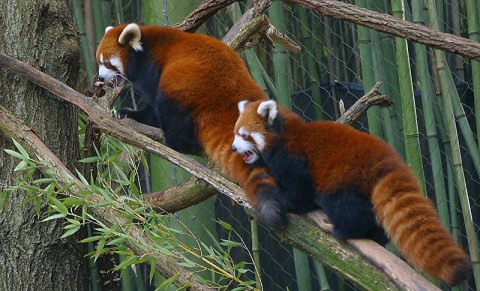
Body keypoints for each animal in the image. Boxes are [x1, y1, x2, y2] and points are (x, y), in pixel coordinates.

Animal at [94, 24, 288, 226]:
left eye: (107, 62)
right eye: (99, 61)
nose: (100, 78)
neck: (146, 46)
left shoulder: (154, 68)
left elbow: (154, 104)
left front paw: (137, 116)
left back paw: (173, 141)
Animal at [232, 99, 472, 286]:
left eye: (244, 135)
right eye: (235, 134)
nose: (234, 148)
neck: (284, 134)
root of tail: (387, 160)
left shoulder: (293, 158)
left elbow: (300, 191)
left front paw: (287, 202)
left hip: (341, 176)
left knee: (346, 205)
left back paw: (346, 230)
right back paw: (376, 235)